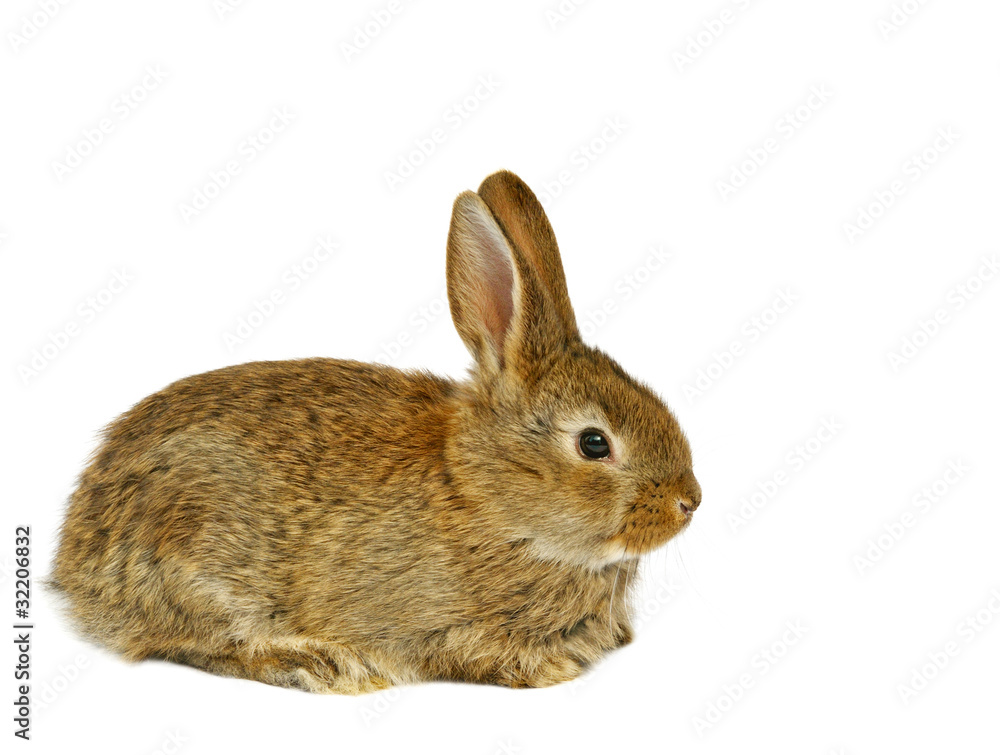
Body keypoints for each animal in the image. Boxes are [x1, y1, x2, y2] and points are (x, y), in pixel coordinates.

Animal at [50, 170, 701, 694]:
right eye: (594, 443)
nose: (689, 501)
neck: (483, 496)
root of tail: (74, 554)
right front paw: (545, 669)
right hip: (195, 543)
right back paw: (319, 664)